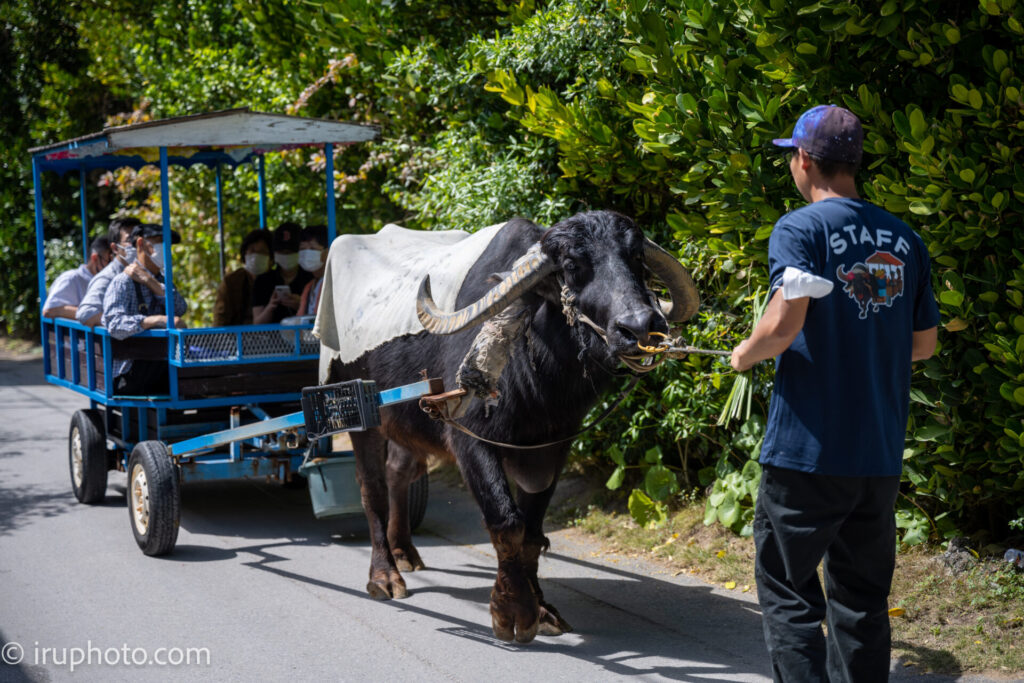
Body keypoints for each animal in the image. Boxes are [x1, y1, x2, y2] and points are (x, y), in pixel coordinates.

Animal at [323, 210, 700, 643]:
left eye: (637, 257)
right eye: (572, 266)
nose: (640, 327)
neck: (535, 363)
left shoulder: (552, 444)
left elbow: (533, 533)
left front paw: (541, 607)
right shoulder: (469, 438)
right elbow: (507, 523)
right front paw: (513, 612)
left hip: (406, 421)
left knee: (398, 471)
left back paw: (405, 552)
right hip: (357, 411)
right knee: (372, 489)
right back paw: (385, 577)